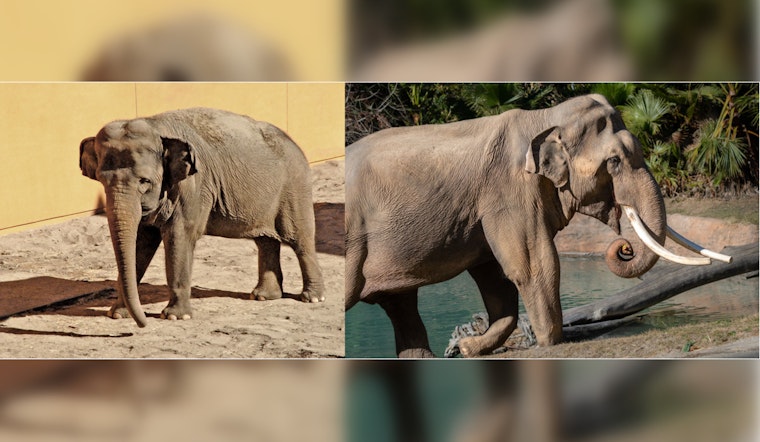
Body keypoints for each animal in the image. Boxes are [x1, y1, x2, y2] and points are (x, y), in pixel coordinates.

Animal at [79, 107, 324, 327]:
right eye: (102, 180)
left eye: (144, 181)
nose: (143, 324)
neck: (155, 125)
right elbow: (141, 243)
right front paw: (117, 314)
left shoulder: (193, 187)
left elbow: (179, 237)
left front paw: (175, 317)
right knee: (266, 241)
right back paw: (263, 296)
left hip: (294, 187)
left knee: (300, 240)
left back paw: (312, 298)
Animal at [345, 94, 717, 358]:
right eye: (614, 161)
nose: (624, 247)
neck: (545, 117)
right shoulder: (509, 191)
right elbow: (533, 264)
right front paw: (552, 342)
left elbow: (496, 277)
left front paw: (470, 347)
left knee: (402, 307)